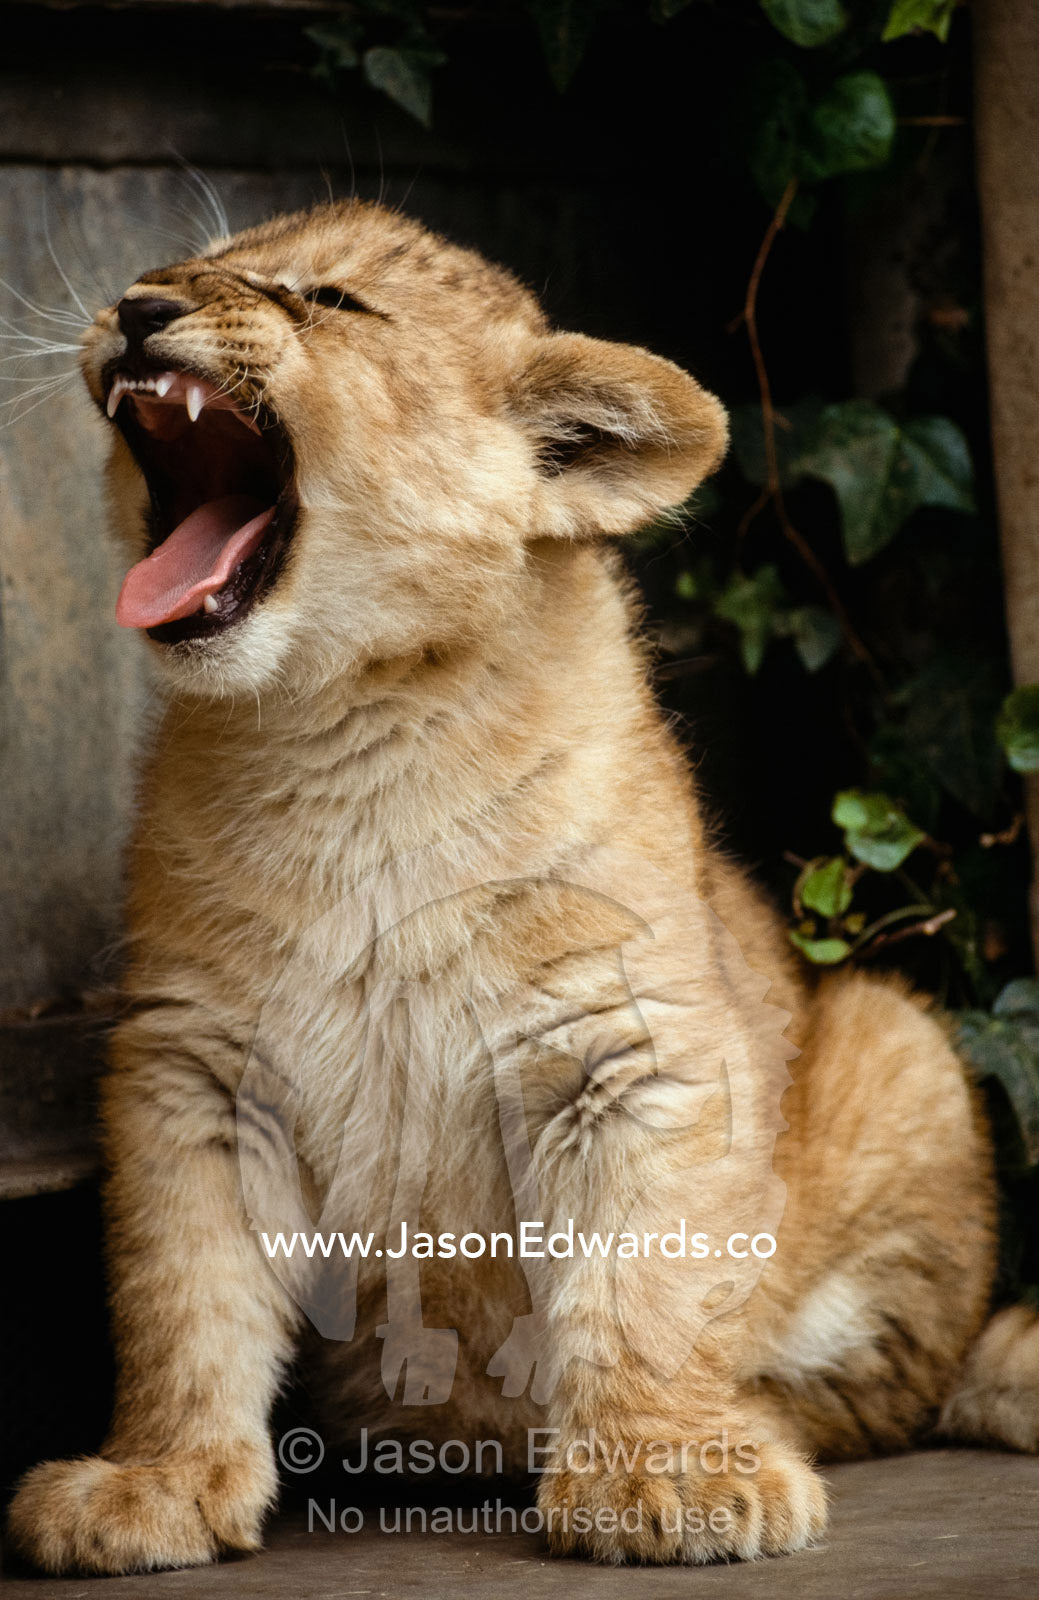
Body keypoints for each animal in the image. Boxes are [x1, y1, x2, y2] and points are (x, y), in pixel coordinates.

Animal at [7, 199, 1036, 1574]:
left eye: (331, 299)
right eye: (180, 267)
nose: (136, 307)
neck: (346, 729)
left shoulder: (633, 1045)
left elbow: (644, 1269)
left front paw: (668, 1468)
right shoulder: (195, 1067)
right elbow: (184, 1289)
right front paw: (155, 1478)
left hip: (899, 1039)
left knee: (872, 1382)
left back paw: (749, 1424)